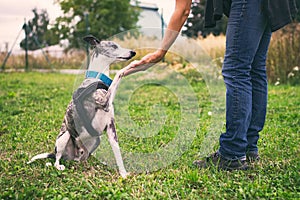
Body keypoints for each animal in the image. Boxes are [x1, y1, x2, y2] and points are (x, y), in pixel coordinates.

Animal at [28, 35, 136, 177]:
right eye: (113, 46)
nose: (133, 52)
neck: (97, 78)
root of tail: (71, 156)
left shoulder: (110, 126)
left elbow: (117, 151)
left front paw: (123, 173)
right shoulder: (104, 102)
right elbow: (119, 73)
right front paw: (130, 67)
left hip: (96, 140)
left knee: (83, 157)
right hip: (65, 137)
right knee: (58, 158)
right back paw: (60, 165)